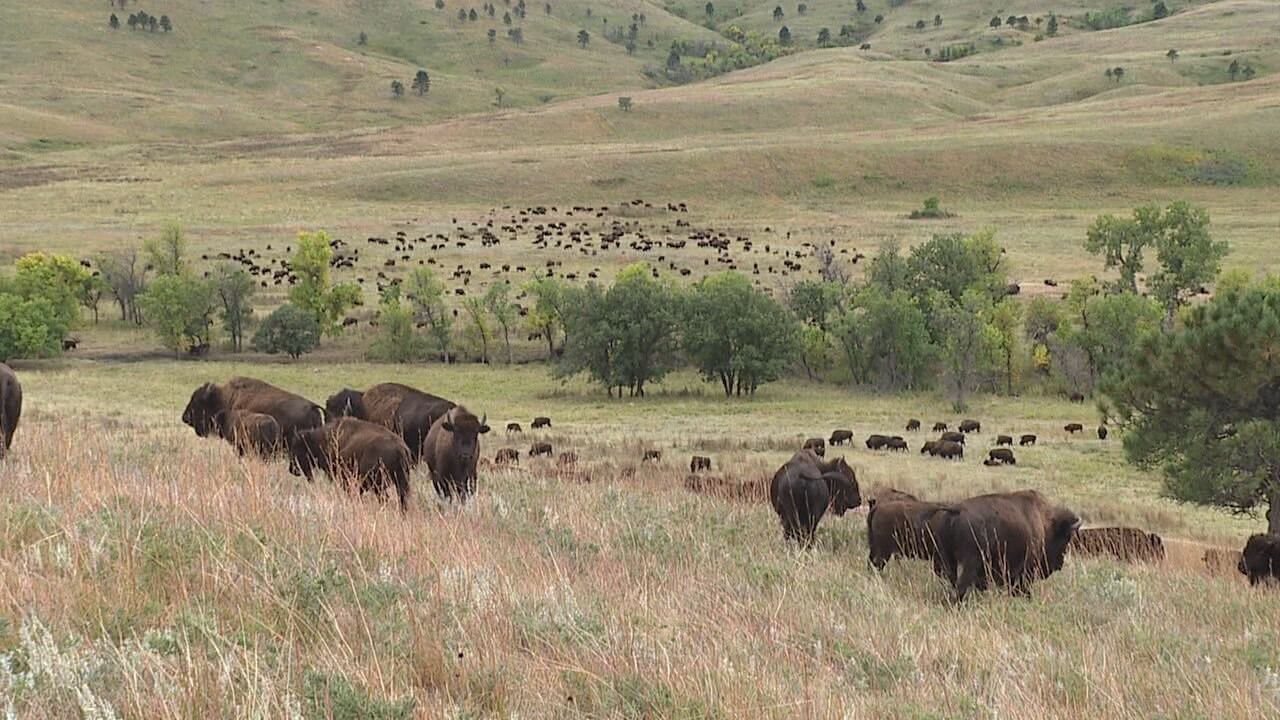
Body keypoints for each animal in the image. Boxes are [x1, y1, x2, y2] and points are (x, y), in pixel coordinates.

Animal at [920, 490, 1080, 601]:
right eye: (1066, 538)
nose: (1060, 564)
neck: (1044, 522)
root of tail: (956, 510)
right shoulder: (1024, 571)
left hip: (947, 561)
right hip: (970, 564)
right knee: (960, 587)